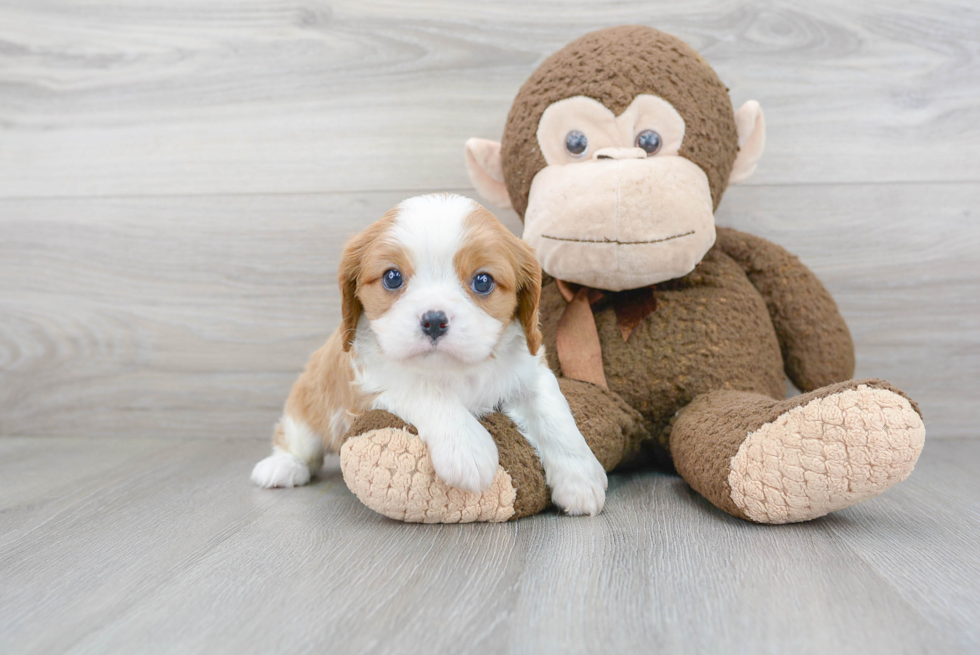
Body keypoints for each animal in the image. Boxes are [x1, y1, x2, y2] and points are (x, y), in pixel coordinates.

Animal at [249, 192, 608, 516]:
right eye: (392, 277)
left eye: (483, 281)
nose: (434, 320)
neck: (452, 370)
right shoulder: (370, 380)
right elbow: (427, 392)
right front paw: (468, 449)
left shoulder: (529, 370)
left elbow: (553, 413)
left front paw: (581, 477)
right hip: (309, 404)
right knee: (297, 437)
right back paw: (282, 466)